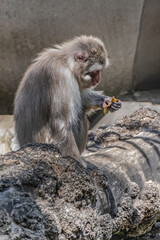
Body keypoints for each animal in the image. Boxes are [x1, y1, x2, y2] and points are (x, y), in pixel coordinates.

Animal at [13, 35, 121, 163]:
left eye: (99, 71)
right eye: (95, 72)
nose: (97, 80)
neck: (66, 63)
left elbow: (83, 100)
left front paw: (106, 102)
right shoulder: (60, 75)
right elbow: (61, 120)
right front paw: (75, 160)